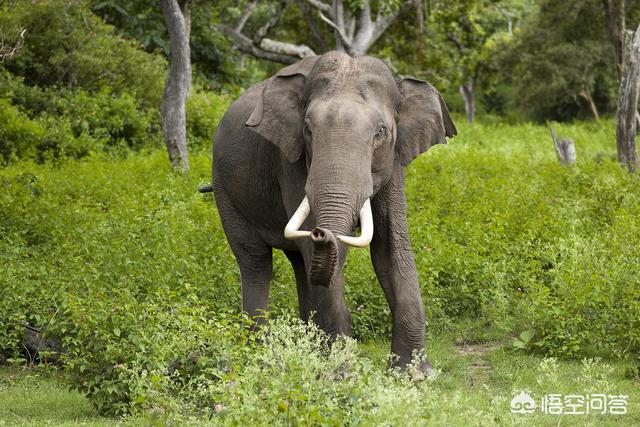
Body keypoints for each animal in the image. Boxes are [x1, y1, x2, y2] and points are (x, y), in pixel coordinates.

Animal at [209, 51, 456, 374]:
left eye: (381, 132)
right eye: (308, 130)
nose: (320, 232)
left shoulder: (394, 163)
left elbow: (391, 248)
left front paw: (414, 375)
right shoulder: (291, 160)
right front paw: (342, 374)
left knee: (300, 265)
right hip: (224, 189)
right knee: (256, 262)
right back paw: (259, 355)